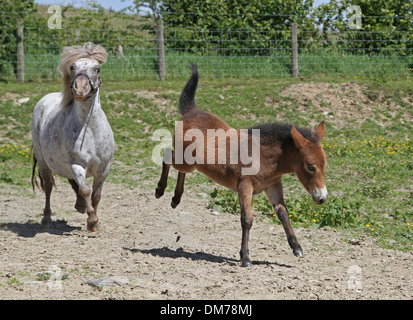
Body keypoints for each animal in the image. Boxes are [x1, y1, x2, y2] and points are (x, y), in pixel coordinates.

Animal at [30, 43, 115, 232]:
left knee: (71, 182)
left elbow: (96, 195)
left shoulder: (103, 168)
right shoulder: (77, 164)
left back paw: (80, 206)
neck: (89, 129)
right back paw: (47, 218)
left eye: (97, 69)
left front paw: (95, 222)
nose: (80, 89)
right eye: (73, 67)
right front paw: (92, 221)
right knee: (48, 187)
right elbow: (85, 189)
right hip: (44, 162)